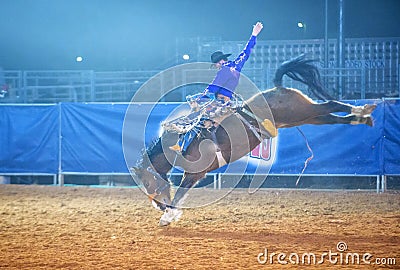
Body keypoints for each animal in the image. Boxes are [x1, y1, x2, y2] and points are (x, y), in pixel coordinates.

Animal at [130, 55, 376, 226]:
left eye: (148, 183)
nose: (157, 206)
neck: (180, 144)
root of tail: (278, 87)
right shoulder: (195, 174)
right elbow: (181, 195)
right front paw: (170, 215)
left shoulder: (194, 173)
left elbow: (180, 194)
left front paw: (168, 216)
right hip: (307, 117)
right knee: (332, 117)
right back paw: (363, 118)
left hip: (302, 112)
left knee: (331, 105)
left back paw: (363, 108)